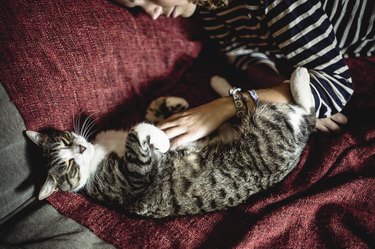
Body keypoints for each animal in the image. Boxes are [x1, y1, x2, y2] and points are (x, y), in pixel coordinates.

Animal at [25, 66, 318, 218]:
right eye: (69, 166)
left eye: (66, 140)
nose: (81, 147)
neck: (99, 152)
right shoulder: (135, 178)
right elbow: (138, 131)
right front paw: (165, 141)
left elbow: (149, 119)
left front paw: (169, 105)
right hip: (271, 124)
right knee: (306, 110)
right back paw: (300, 76)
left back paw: (221, 83)